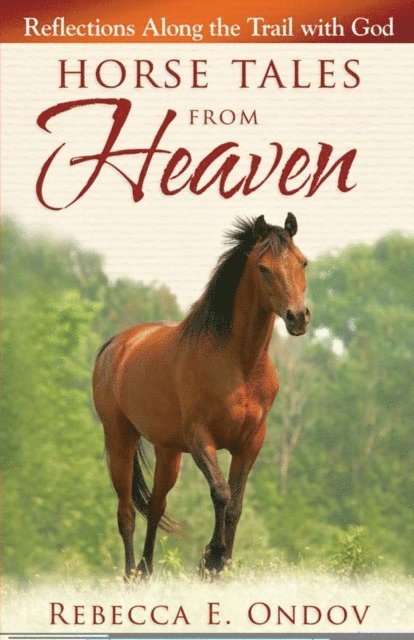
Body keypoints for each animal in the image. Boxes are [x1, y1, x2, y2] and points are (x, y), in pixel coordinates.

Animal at [93, 212, 310, 579]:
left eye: (303, 262)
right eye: (263, 268)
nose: (299, 318)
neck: (240, 364)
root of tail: (116, 345)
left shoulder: (250, 442)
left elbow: (236, 503)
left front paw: (223, 565)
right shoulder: (200, 439)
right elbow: (220, 493)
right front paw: (212, 557)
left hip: (168, 451)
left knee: (155, 506)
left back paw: (147, 570)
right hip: (120, 438)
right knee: (126, 512)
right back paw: (130, 574)